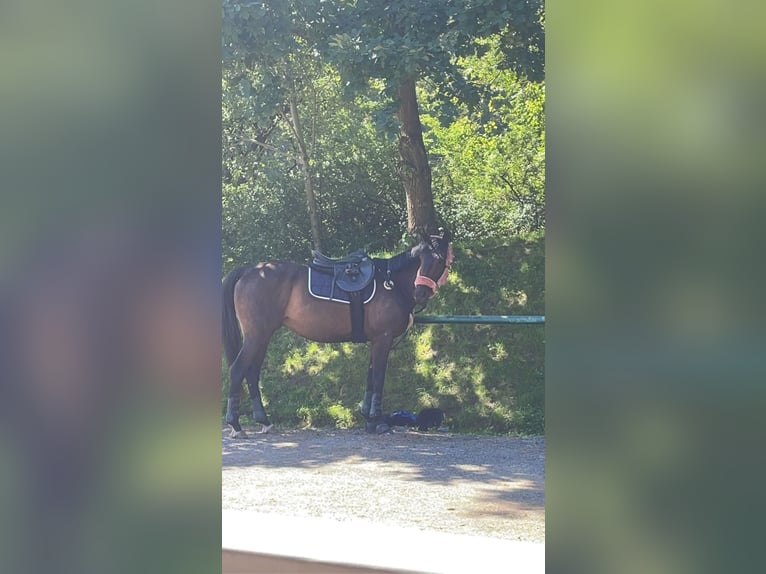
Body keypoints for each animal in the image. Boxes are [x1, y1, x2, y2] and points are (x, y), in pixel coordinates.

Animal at [222, 228, 452, 436]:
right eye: (422, 259)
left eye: (439, 260)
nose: (420, 293)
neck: (392, 283)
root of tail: (249, 270)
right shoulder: (383, 339)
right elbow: (378, 378)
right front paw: (378, 422)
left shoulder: (375, 341)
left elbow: (370, 378)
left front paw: (369, 419)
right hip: (256, 336)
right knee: (237, 370)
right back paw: (235, 425)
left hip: (261, 337)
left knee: (252, 373)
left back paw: (264, 421)